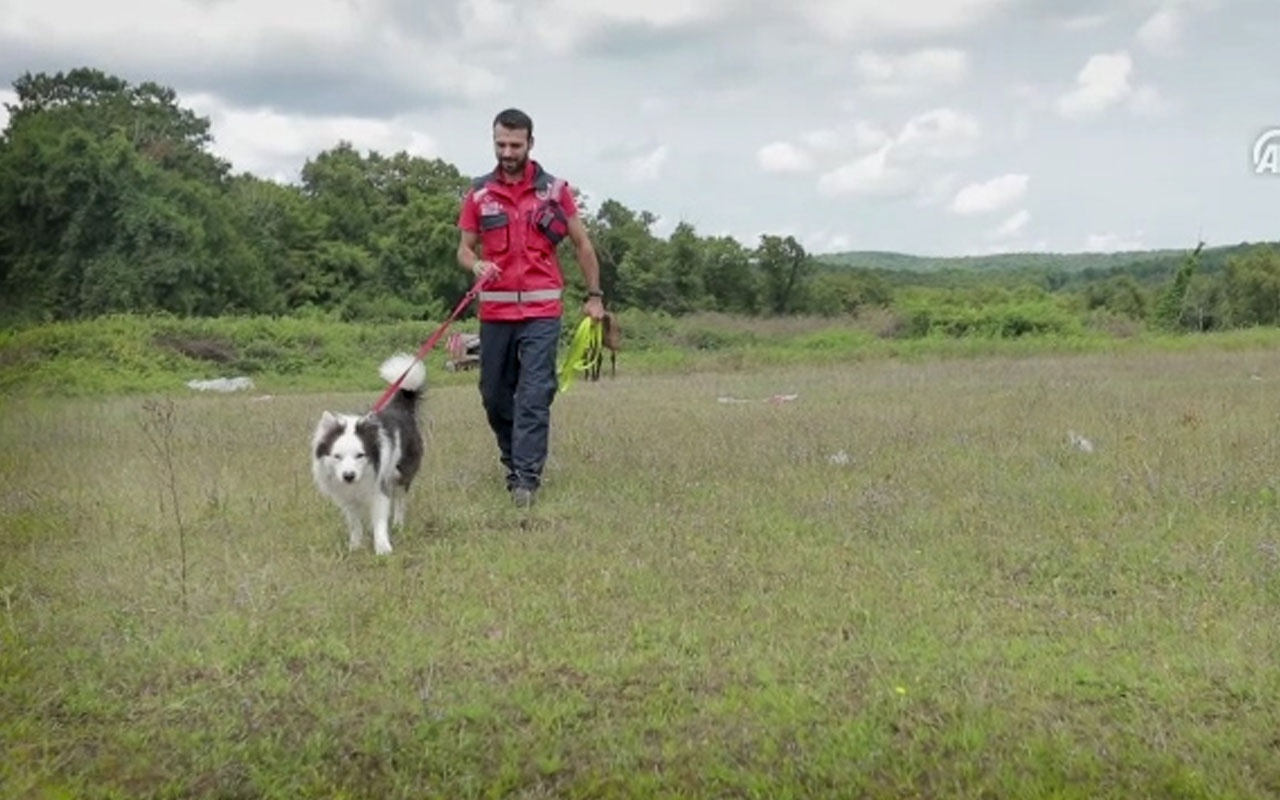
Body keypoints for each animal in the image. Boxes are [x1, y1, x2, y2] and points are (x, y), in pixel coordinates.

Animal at [309, 353, 424, 552]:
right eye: (337, 456)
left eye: (360, 455)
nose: (348, 476)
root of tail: (400, 408)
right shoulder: (348, 497)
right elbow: (354, 523)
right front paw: (355, 545)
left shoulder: (378, 487)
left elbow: (380, 520)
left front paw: (383, 548)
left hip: (402, 472)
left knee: (400, 499)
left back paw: (398, 524)